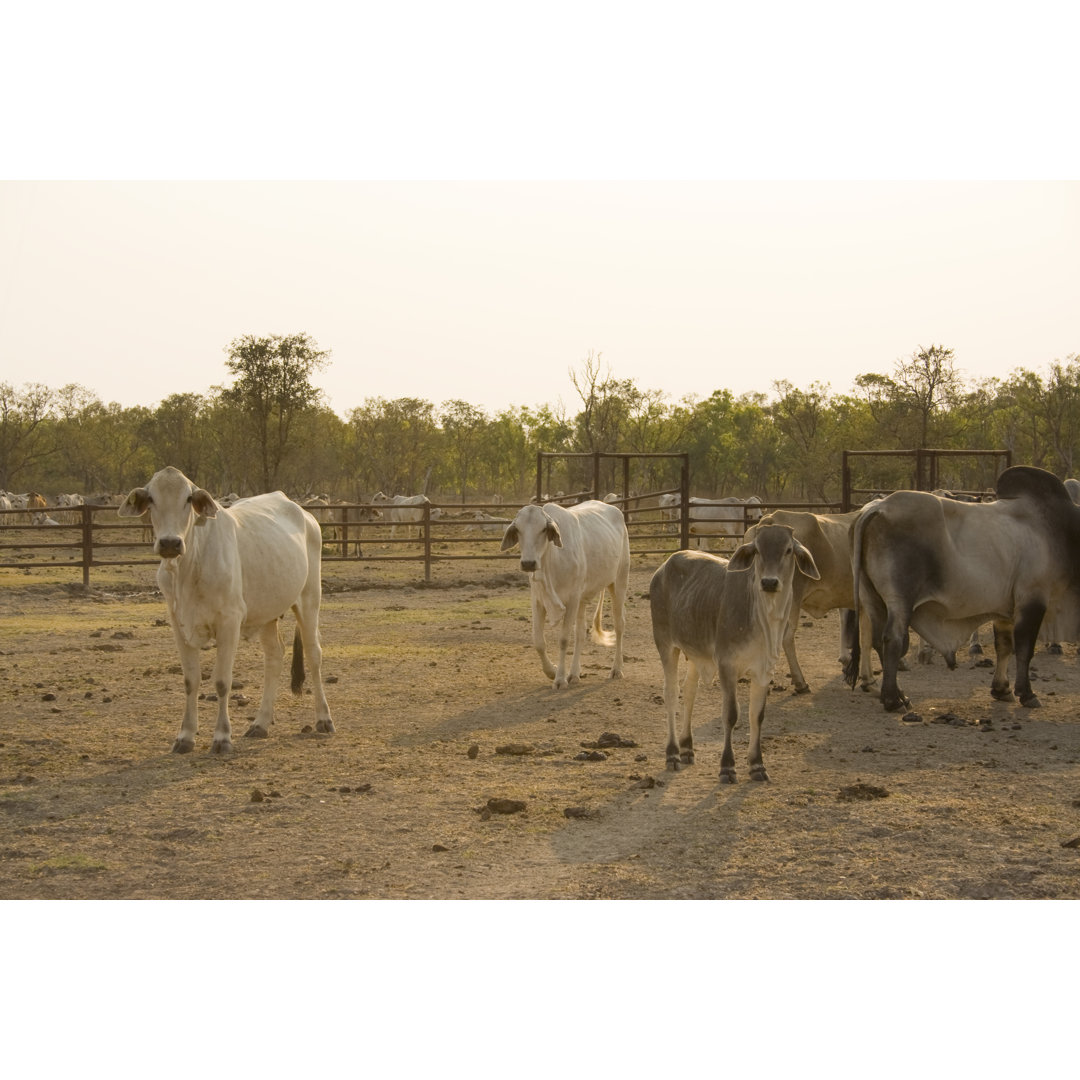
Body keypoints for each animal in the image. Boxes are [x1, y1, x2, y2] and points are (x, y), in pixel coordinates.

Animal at [119, 466, 334, 753]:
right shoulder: (178, 624)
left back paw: (324, 719)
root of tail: (305, 514)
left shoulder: (229, 622)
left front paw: (221, 737)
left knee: (313, 655)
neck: (190, 567)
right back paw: (260, 723)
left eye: (188, 498)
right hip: (267, 612)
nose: (170, 543)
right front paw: (185, 736)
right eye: (151, 498)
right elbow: (191, 680)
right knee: (274, 656)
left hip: (309, 599)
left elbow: (222, 682)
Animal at [500, 500, 630, 689]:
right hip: (583, 598)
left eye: (543, 529)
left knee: (619, 625)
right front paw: (551, 671)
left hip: (619, 582)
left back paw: (617, 669)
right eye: (517, 529)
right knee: (581, 632)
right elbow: (538, 641)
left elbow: (563, 639)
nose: (528, 563)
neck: (551, 561)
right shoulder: (538, 600)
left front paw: (560, 679)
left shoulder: (572, 600)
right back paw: (574, 674)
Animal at [650, 523, 820, 782]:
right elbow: (731, 714)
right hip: (666, 644)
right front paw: (727, 767)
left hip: (696, 652)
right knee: (671, 694)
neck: (762, 619)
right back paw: (673, 753)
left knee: (689, 693)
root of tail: (664, 566)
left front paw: (757, 765)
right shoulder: (726, 665)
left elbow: (756, 715)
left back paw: (687, 747)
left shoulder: (764, 670)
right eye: (757, 550)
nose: (769, 582)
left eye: (788, 550)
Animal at [848, 465, 1080, 713]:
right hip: (899, 600)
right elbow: (1025, 649)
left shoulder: (1006, 608)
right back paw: (893, 700)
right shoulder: (1033, 599)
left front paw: (1001, 689)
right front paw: (1026, 693)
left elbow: (1004, 646)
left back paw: (898, 695)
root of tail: (879, 507)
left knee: (876, 640)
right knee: (892, 640)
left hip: (872, 598)